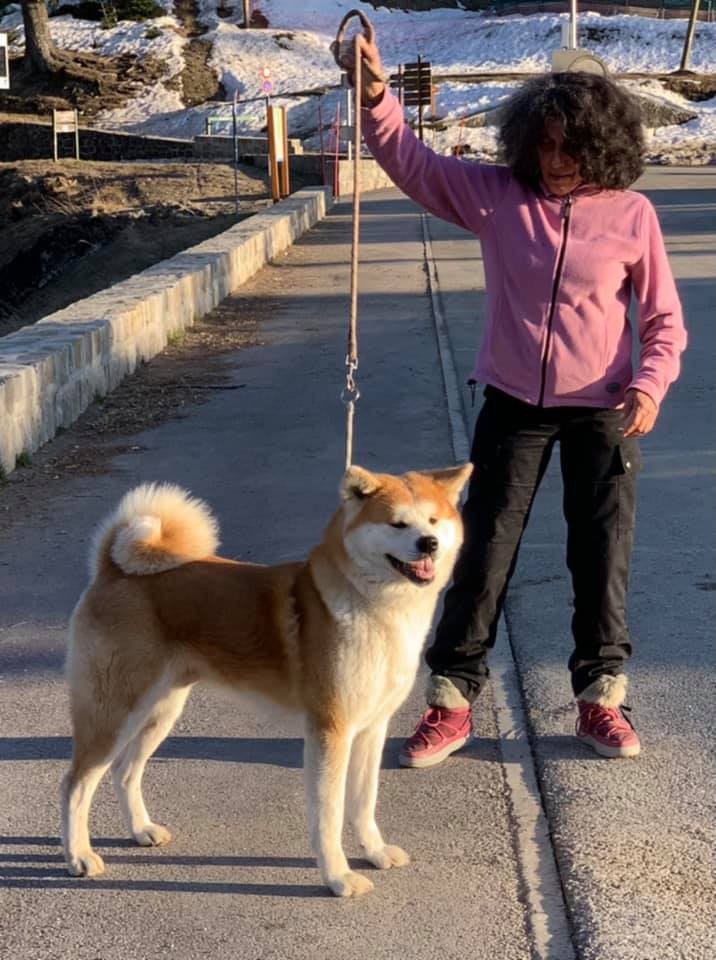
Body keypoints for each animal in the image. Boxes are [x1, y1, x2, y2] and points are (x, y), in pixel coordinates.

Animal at [61, 462, 472, 896]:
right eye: (397, 523)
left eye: (433, 520)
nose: (428, 543)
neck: (373, 606)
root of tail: (112, 568)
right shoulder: (331, 731)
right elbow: (329, 814)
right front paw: (338, 876)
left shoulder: (372, 728)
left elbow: (364, 803)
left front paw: (374, 852)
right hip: (114, 714)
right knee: (75, 784)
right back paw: (79, 856)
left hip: (159, 712)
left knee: (125, 772)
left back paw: (141, 830)